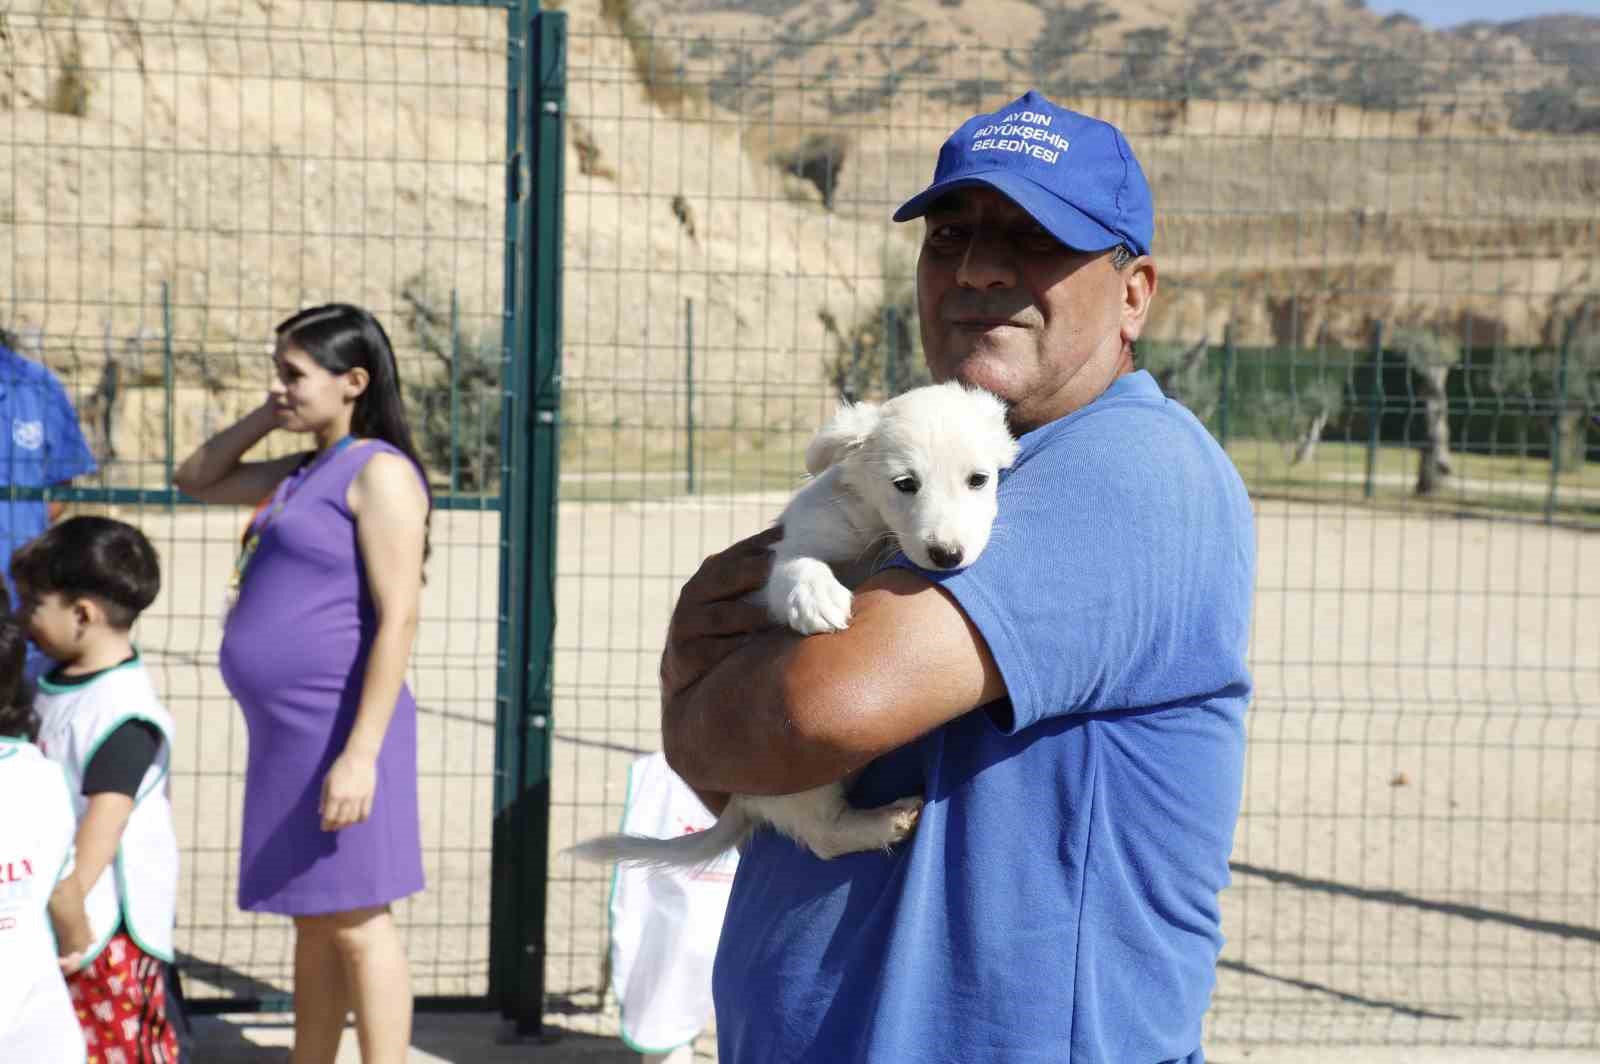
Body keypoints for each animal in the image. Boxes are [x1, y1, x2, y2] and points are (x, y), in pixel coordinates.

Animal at [572, 382, 1011, 864]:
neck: (875, 528)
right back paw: (884, 822)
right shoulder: (791, 551)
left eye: (978, 479)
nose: (947, 556)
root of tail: (744, 800)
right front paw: (817, 596)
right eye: (905, 484)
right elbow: (799, 566)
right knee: (823, 835)